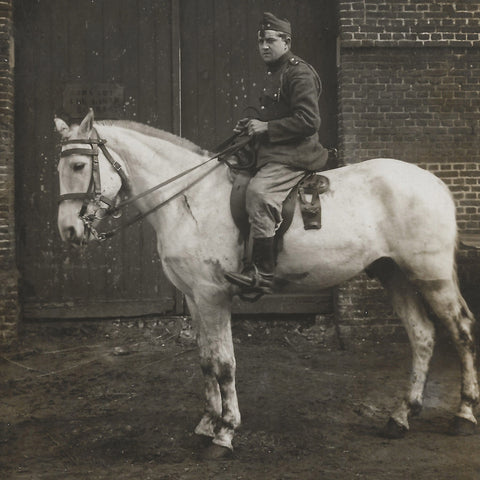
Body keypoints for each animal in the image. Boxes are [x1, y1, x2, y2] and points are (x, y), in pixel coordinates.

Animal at [55, 110, 476, 460]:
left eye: (78, 164)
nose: (69, 231)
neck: (189, 199)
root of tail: (434, 182)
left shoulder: (213, 296)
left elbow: (224, 363)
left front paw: (225, 433)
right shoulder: (193, 298)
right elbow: (205, 361)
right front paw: (207, 423)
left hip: (431, 275)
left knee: (461, 333)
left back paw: (464, 413)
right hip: (395, 275)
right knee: (422, 336)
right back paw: (401, 416)